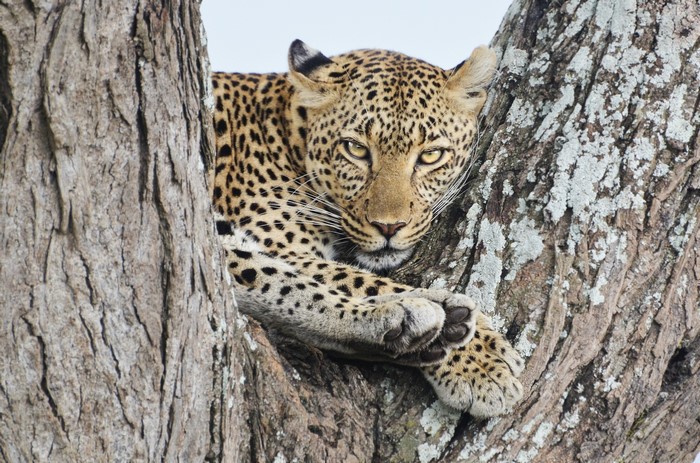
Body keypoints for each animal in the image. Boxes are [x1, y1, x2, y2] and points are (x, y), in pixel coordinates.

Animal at [210, 40, 524, 417]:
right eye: (356, 149)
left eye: (431, 156)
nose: (389, 227)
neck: (287, 131)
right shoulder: (277, 242)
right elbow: (353, 278)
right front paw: (479, 359)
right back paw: (426, 319)